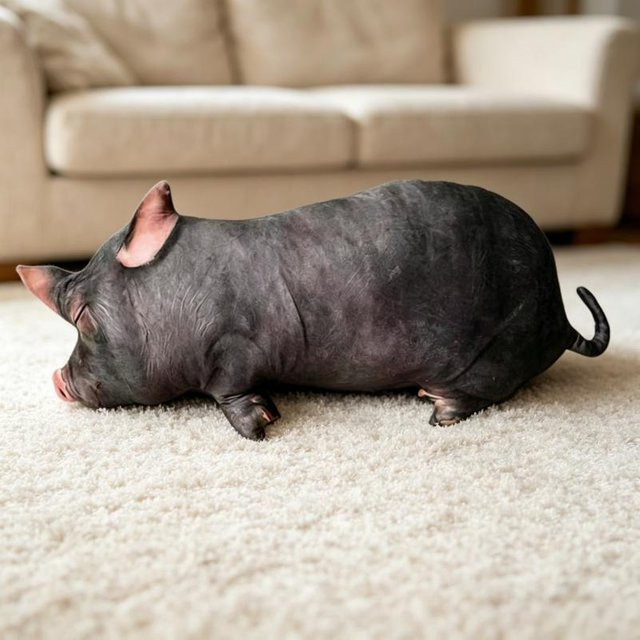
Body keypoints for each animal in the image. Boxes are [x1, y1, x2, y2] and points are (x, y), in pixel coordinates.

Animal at [17, 179, 609, 439]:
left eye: (84, 318)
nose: (55, 380)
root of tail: (560, 317)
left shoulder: (234, 352)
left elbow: (232, 394)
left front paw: (261, 428)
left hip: (497, 350)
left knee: (474, 396)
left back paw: (434, 407)